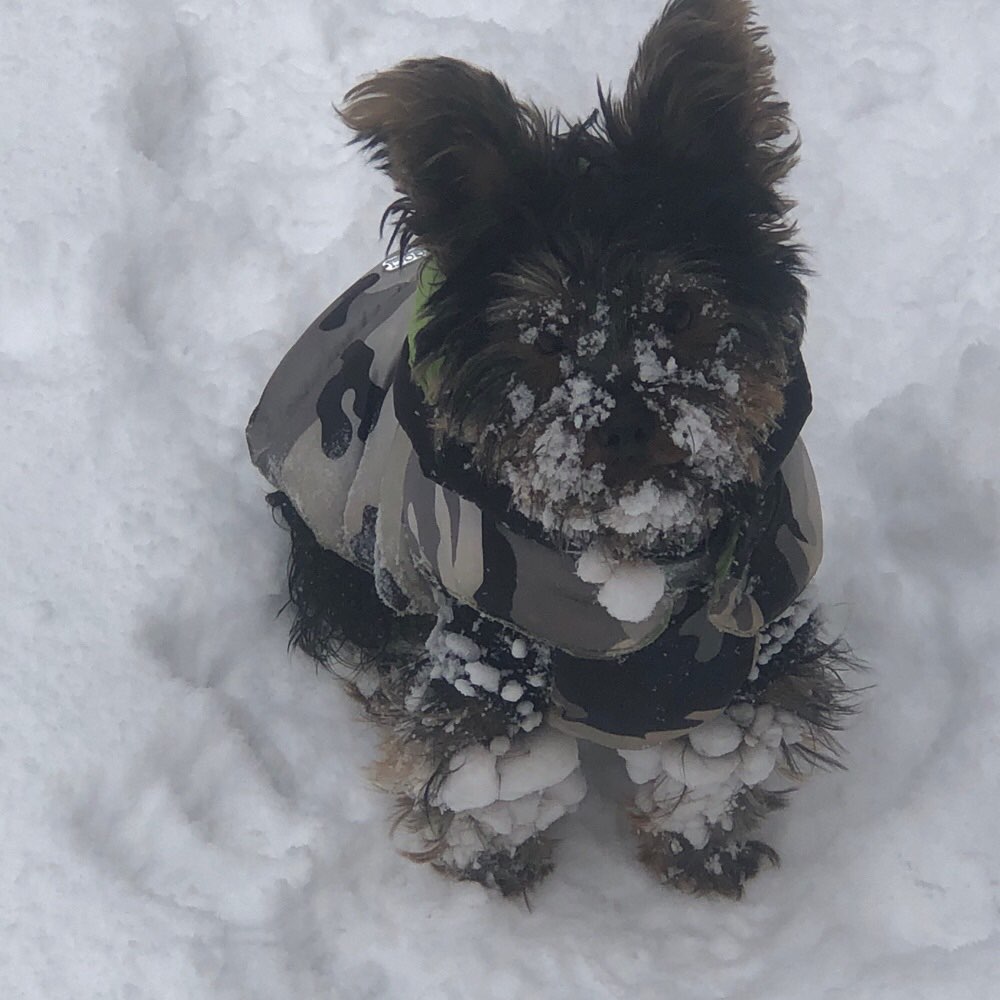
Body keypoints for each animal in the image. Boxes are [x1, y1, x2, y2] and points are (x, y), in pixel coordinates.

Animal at [246, 0, 856, 900]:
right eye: (543, 339)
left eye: (681, 312)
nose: (625, 422)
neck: (629, 546)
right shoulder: (483, 635)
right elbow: (487, 751)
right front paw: (499, 859)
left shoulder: (752, 617)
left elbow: (725, 746)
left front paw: (700, 847)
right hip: (353, 564)